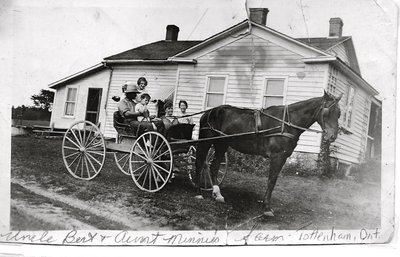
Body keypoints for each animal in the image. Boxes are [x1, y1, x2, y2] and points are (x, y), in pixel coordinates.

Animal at [194, 91, 340, 215]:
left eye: (338, 113)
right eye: (327, 112)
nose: (332, 136)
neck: (287, 123)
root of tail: (209, 112)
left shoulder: (283, 157)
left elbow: (273, 180)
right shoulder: (277, 156)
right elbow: (272, 180)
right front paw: (267, 207)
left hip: (221, 144)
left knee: (214, 166)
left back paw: (217, 194)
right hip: (206, 141)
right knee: (200, 162)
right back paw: (198, 192)